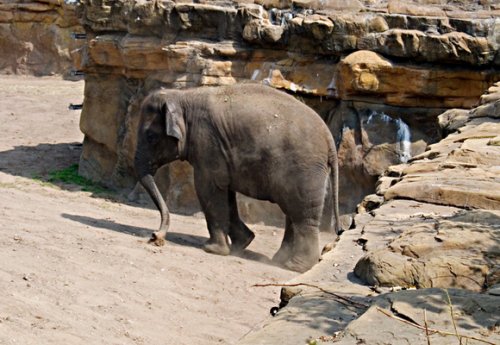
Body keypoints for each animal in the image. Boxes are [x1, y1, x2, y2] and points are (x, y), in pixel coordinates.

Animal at [135, 83, 342, 272]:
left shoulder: (208, 144)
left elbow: (207, 189)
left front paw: (212, 249)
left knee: (302, 214)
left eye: (151, 136)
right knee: (293, 211)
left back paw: (295, 266)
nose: (155, 236)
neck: (182, 96)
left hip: (305, 170)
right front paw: (241, 244)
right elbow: (226, 193)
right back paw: (280, 260)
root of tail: (329, 138)